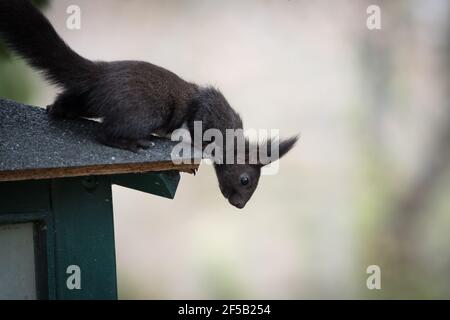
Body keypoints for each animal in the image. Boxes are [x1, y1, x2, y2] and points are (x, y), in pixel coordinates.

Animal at [0, 0, 298, 208]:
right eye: (245, 179)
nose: (239, 205)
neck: (229, 132)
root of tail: (101, 74)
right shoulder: (206, 111)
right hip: (146, 111)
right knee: (105, 133)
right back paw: (131, 142)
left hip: (88, 100)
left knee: (72, 103)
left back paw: (58, 109)